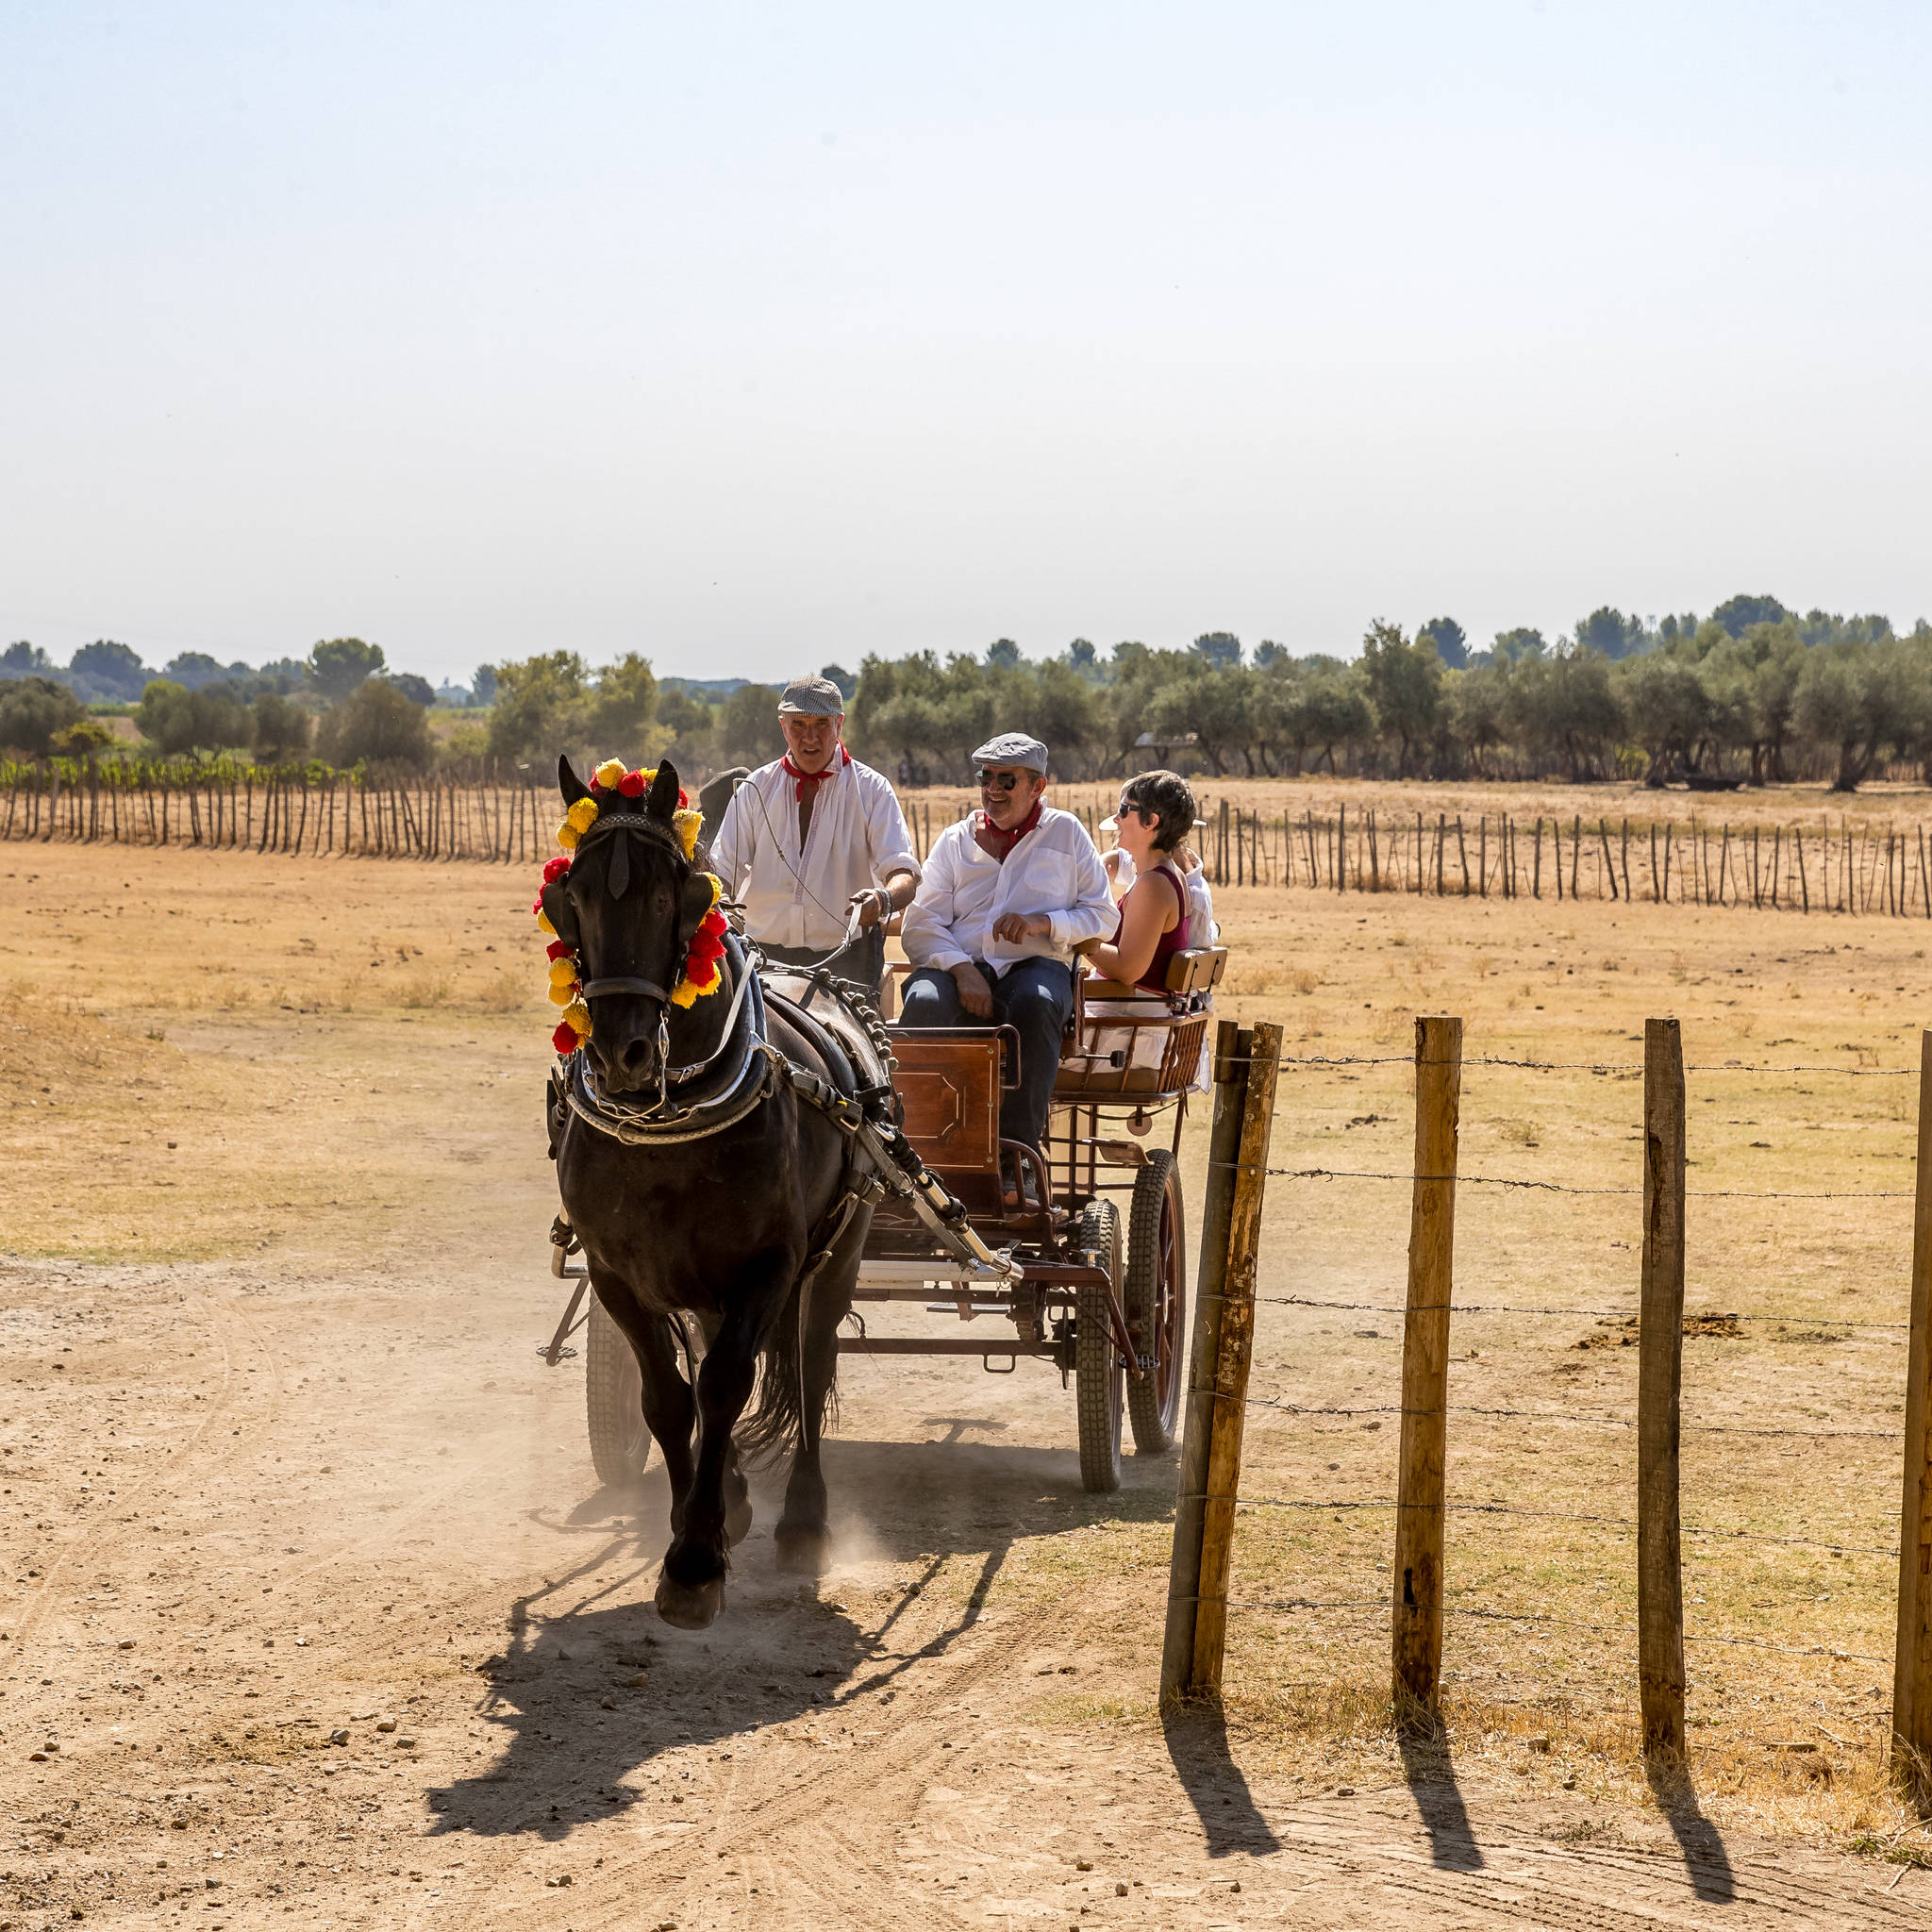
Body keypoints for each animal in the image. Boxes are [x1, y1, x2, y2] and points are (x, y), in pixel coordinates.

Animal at [548, 753, 873, 1630]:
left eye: (676, 896)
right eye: (570, 896)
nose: (621, 1053)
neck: (670, 1114)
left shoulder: (769, 1265)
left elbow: (728, 1382)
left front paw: (695, 1564)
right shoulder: (618, 1273)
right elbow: (671, 1396)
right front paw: (696, 1520)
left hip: (837, 1253)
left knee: (811, 1357)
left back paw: (803, 1519)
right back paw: (727, 1490)